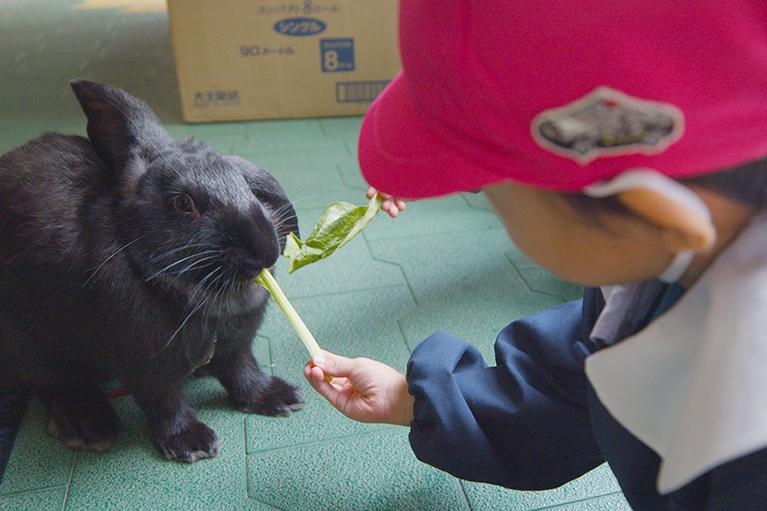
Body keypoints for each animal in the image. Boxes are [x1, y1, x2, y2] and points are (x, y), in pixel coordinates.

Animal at [0, 80, 304, 464]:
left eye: (247, 187)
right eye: (182, 204)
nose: (264, 250)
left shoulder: (236, 347)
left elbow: (242, 372)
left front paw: (280, 398)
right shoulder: (145, 364)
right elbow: (164, 402)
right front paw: (193, 444)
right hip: (26, 345)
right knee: (54, 383)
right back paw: (88, 426)